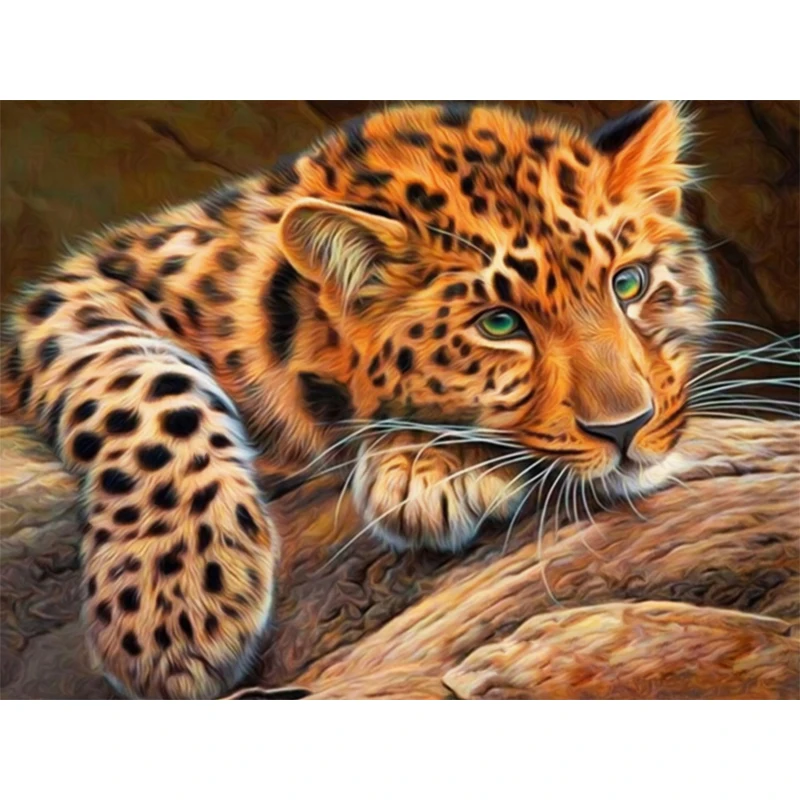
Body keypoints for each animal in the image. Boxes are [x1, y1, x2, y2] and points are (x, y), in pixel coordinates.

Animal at [1, 101, 715, 699]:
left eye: (630, 283)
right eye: (499, 324)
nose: (628, 427)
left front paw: (430, 465)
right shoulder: (78, 293)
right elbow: (148, 384)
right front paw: (174, 602)